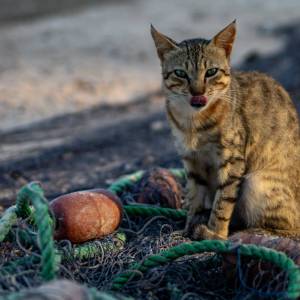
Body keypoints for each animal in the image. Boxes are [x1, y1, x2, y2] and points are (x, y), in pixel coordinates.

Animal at [151, 21, 300, 240]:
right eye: (180, 73)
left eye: (211, 72)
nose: (198, 92)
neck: (193, 123)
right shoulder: (192, 161)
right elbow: (195, 197)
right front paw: (189, 227)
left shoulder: (232, 161)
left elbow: (223, 202)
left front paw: (216, 233)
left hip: (256, 182)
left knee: (290, 227)